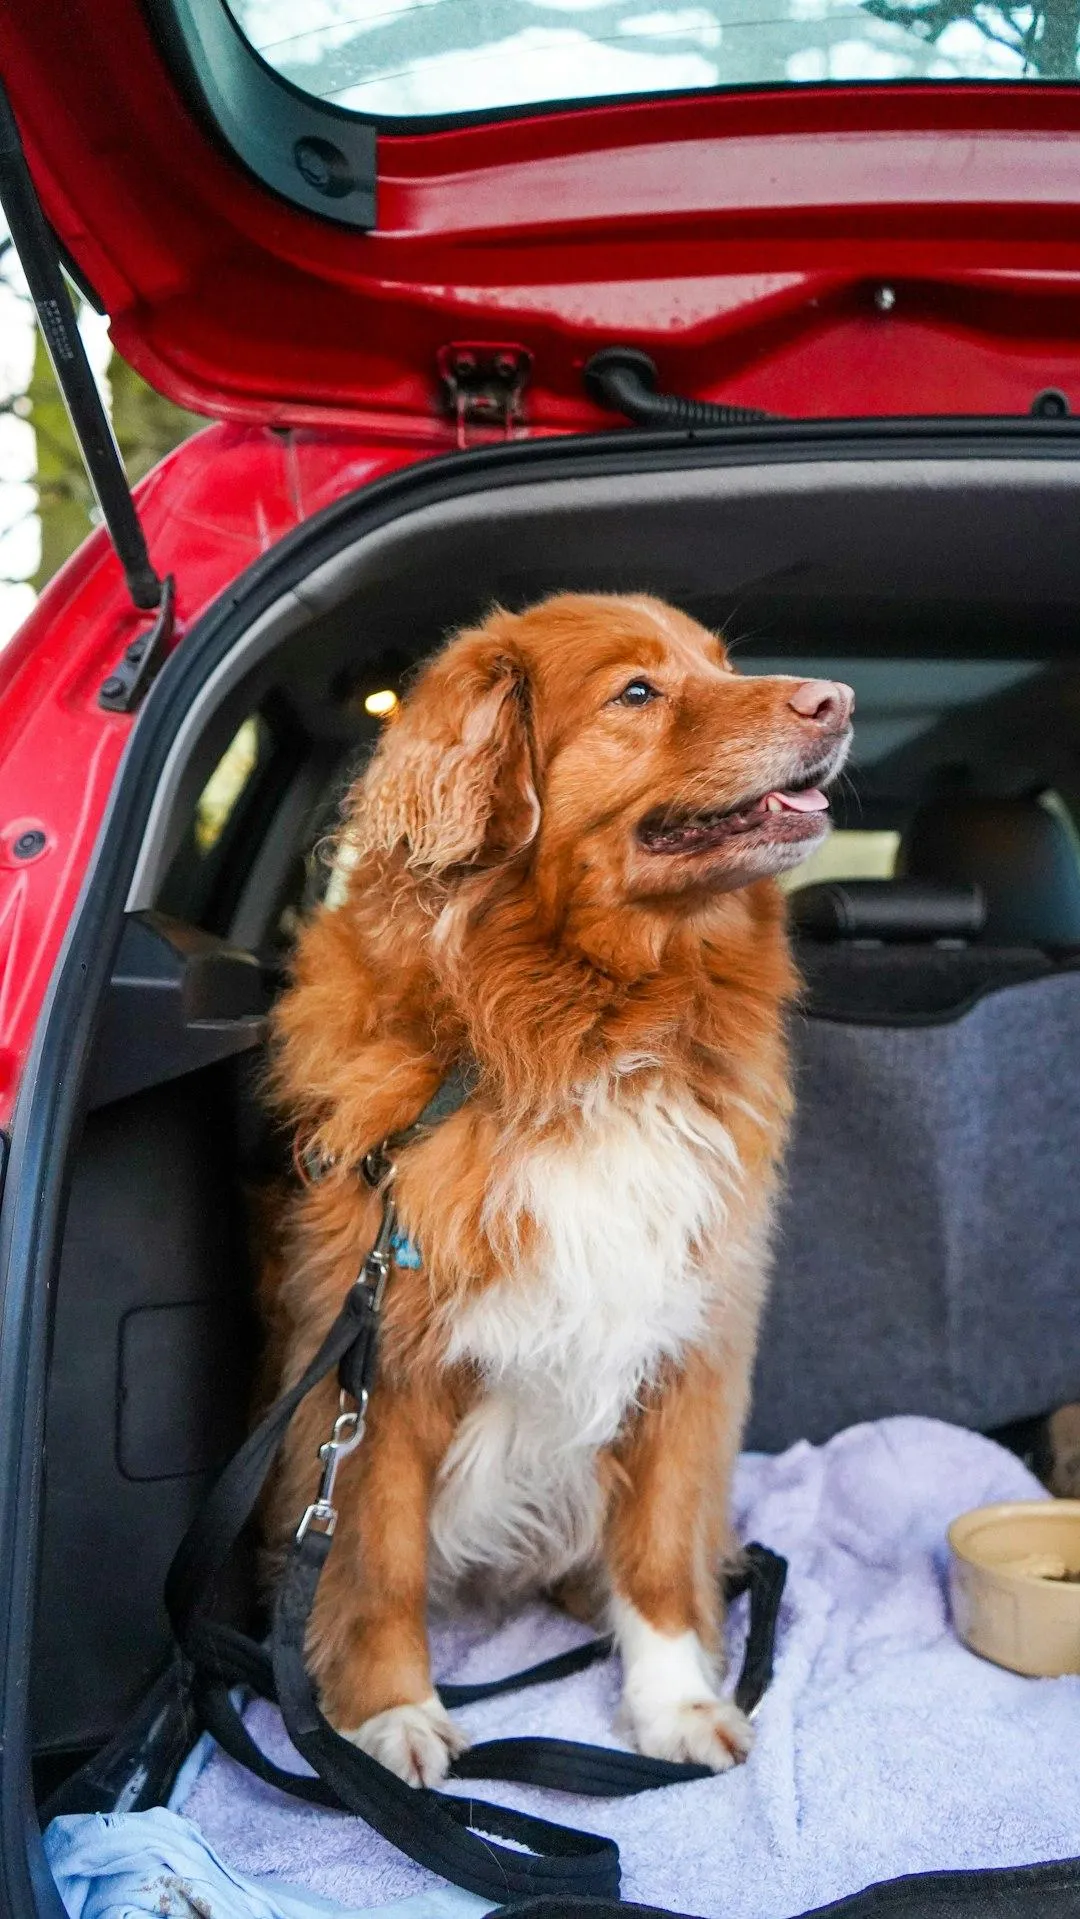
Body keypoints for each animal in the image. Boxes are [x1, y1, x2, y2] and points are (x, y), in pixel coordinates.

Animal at [264, 594, 855, 1780]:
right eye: (637, 691)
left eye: (721, 664)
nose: (837, 698)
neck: (590, 1029)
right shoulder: (380, 1366)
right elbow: (378, 1560)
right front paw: (391, 1712)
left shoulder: (685, 1336)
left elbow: (661, 1548)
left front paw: (673, 1701)